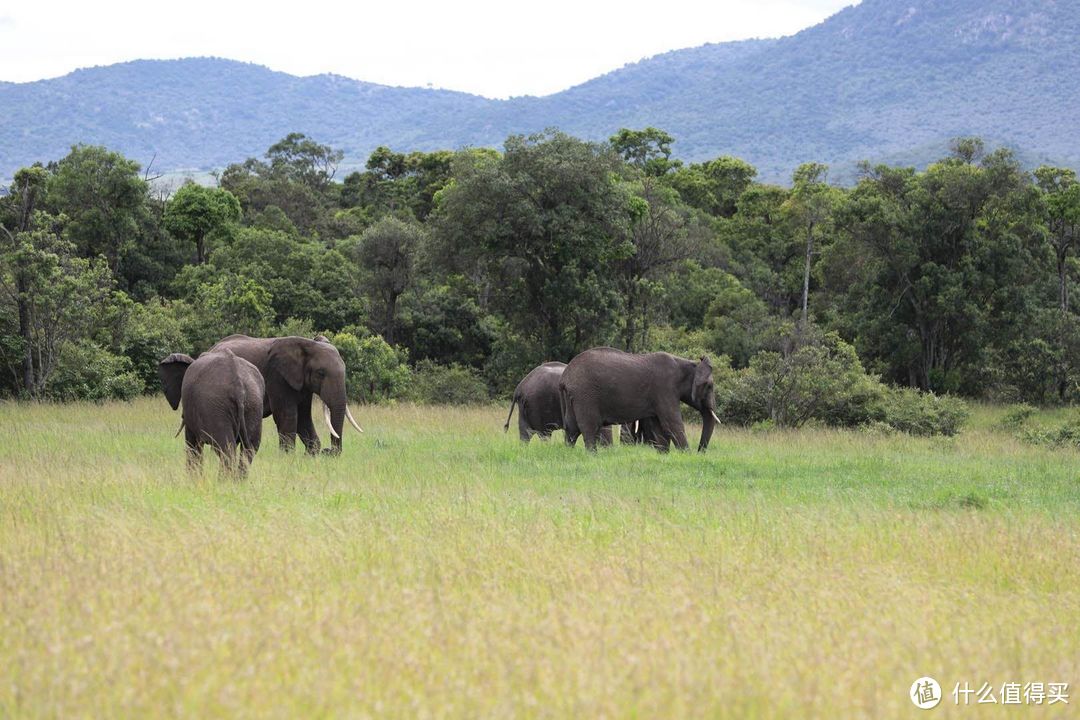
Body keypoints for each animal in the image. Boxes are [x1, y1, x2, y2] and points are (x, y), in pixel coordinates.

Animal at [157, 349, 264, 479]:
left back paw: (223, 481)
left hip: (217, 407)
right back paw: (237, 481)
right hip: (253, 403)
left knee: (226, 449)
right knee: (250, 448)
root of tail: (238, 384)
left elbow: (192, 444)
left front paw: (193, 479)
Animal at [208, 334, 365, 455]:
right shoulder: (277, 376)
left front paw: (310, 456)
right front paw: (287, 458)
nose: (328, 451)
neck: (308, 344)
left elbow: (303, 417)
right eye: (321, 373)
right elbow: (287, 415)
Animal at [561, 347, 721, 451]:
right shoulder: (665, 388)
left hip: (573, 397)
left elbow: (659, 427)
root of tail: (565, 376)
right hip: (585, 395)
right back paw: (592, 454)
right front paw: (686, 454)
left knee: (571, 427)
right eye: (709, 386)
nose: (700, 452)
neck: (688, 364)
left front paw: (664, 454)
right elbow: (672, 423)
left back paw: (569, 452)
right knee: (589, 426)